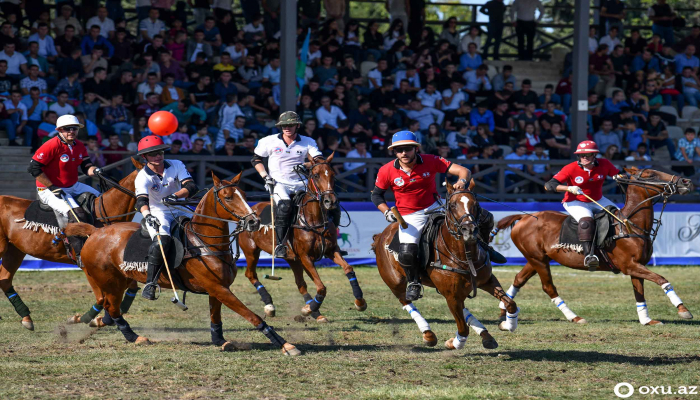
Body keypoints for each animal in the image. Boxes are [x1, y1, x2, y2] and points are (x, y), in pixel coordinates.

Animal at [0, 158, 144, 330]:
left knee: (5, 280)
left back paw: (26, 318)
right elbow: (102, 298)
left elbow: (129, 288)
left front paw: (104, 318)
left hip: (15, 250)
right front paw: (84, 319)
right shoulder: (87, 266)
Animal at [63, 173, 298, 354]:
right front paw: (285, 344)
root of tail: (95, 231)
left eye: (245, 195)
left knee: (110, 308)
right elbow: (251, 315)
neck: (204, 242)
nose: (254, 221)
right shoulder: (218, 287)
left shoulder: (218, 288)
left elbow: (215, 316)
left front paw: (220, 341)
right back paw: (133, 336)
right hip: (110, 280)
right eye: (229, 197)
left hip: (118, 280)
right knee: (111, 308)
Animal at [238, 152, 366, 322]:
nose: (330, 201)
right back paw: (270, 305)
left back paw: (315, 312)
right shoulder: (306, 256)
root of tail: (248, 212)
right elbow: (321, 286)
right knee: (250, 274)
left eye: (333, 175)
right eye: (316, 175)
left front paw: (360, 302)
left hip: (291, 258)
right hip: (251, 251)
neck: (314, 219)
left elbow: (348, 269)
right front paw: (308, 309)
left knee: (300, 283)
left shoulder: (331, 250)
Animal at [374, 180, 516, 350]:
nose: (469, 229)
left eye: (475, 204)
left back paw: (486, 336)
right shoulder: (451, 295)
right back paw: (428, 334)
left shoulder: (487, 281)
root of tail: (381, 235)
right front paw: (454, 343)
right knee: (406, 300)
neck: (464, 256)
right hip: (394, 281)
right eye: (453, 205)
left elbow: (510, 303)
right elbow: (463, 329)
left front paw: (507, 325)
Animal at [494, 167, 696, 326]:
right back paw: (574, 317)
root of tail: (524, 216)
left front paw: (646, 320)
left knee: (519, 279)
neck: (629, 225)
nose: (686, 181)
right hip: (538, 259)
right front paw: (683, 310)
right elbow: (662, 279)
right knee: (548, 287)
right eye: (651, 175)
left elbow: (639, 293)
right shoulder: (629, 265)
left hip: (538, 258)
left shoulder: (637, 266)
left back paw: (505, 309)